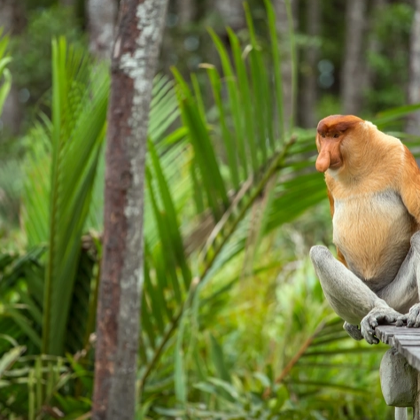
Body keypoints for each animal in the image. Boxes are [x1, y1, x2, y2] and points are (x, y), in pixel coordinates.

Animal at [310, 115, 420, 344]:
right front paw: (348, 325)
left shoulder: (400, 155)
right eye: (323, 136)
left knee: (418, 239)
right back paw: (376, 311)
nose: (323, 157)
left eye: (336, 136)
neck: (358, 168)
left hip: (398, 297)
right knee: (318, 253)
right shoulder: (329, 180)